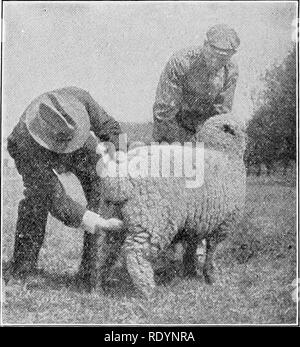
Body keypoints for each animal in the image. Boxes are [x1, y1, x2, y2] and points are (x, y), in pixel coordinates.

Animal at [92, 114, 246, 296]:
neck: (224, 152)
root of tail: (118, 177)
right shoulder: (223, 224)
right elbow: (212, 250)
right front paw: (211, 277)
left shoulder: (195, 222)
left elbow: (191, 246)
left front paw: (189, 271)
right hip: (153, 219)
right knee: (136, 253)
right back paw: (148, 291)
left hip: (111, 216)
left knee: (104, 250)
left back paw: (99, 286)